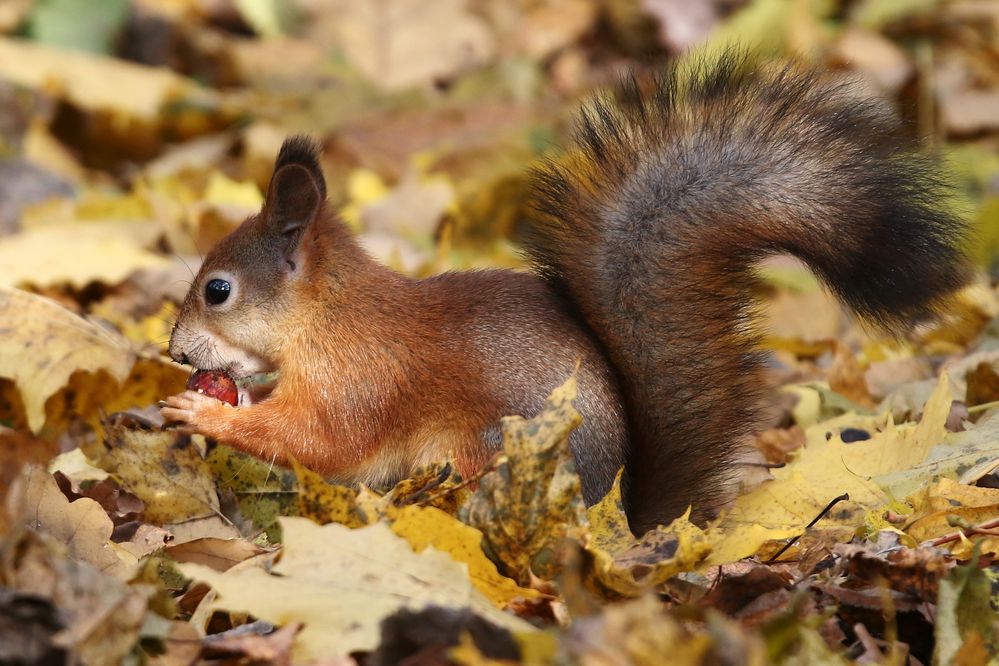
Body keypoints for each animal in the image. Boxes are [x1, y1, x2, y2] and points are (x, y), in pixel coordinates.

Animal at [162, 53, 968, 536]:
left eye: (219, 290)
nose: (173, 352)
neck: (327, 319)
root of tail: (617, 524)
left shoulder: (360, 381)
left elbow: (315, 439)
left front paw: (206, 413)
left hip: (486, 461)